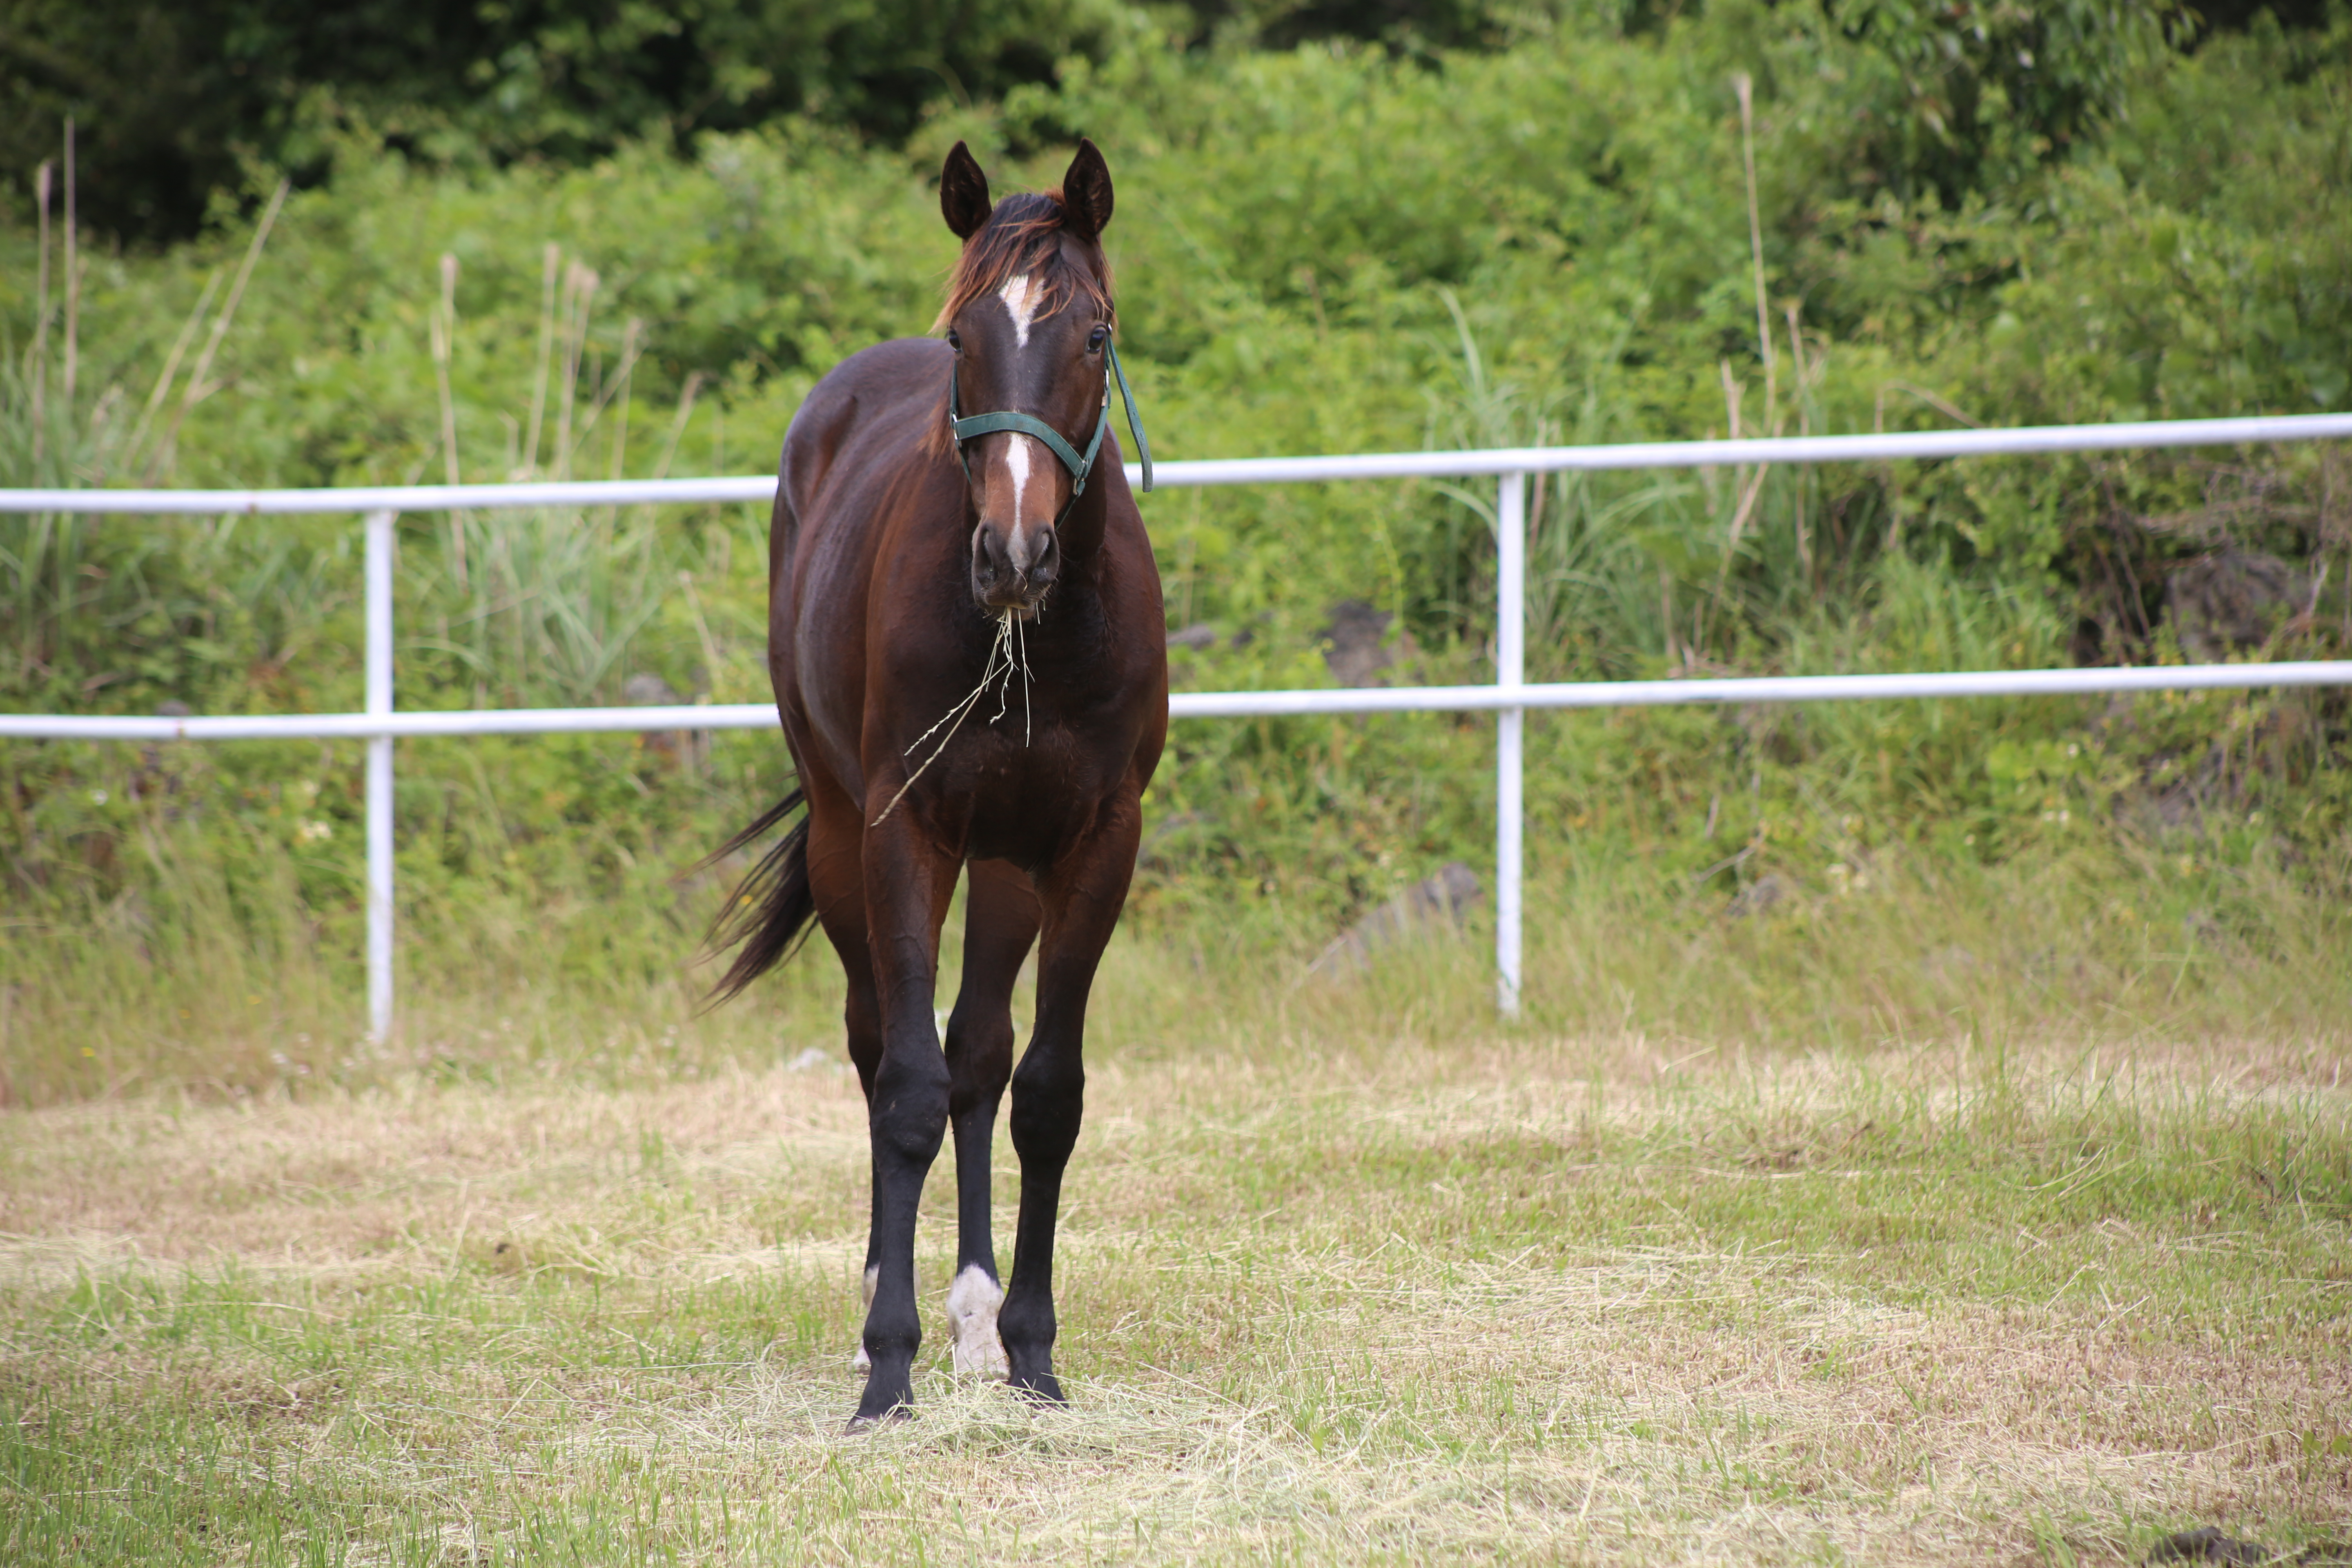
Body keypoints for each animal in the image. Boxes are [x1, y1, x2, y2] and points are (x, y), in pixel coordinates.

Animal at [701, 141, 1171, 1429]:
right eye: (964, 337)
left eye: (1095, 333)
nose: (1012, 555)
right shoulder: (903, 831)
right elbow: (906, 1087)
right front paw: (888, 1367)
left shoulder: (1095, 842)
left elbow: (1042, 1092)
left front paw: (1031, 1350)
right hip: (841, 836)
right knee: (878, 1048)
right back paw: (892, 1302)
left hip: (1005, 860)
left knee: (978, 1053)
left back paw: (972, 1311)